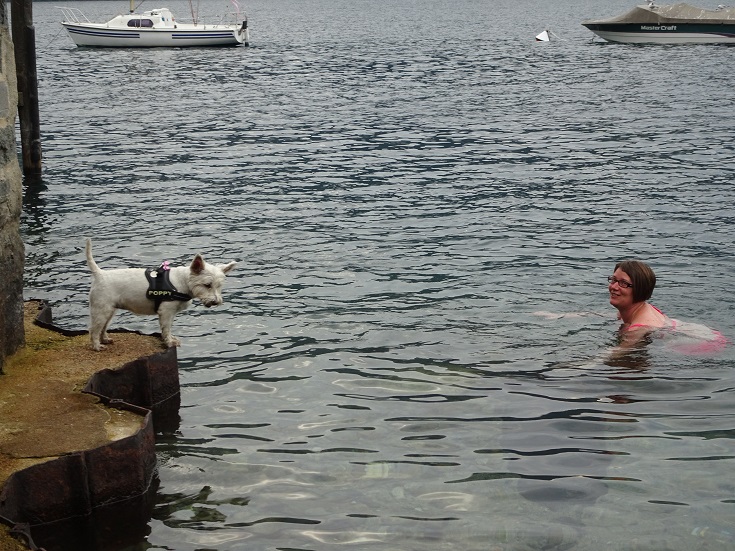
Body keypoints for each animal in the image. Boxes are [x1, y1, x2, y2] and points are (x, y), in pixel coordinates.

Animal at [86, 239, 236, 352]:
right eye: (207, 285)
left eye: (219, 286)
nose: (216, 302)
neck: (182, 282)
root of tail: (100, 274)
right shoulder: (166, 311)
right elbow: (166, 328)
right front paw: (169, 342)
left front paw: (172, 339)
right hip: (102, 309)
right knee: (94, 329)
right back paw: (97, 346)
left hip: (111, 310)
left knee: (103, 327)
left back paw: (105, 339)